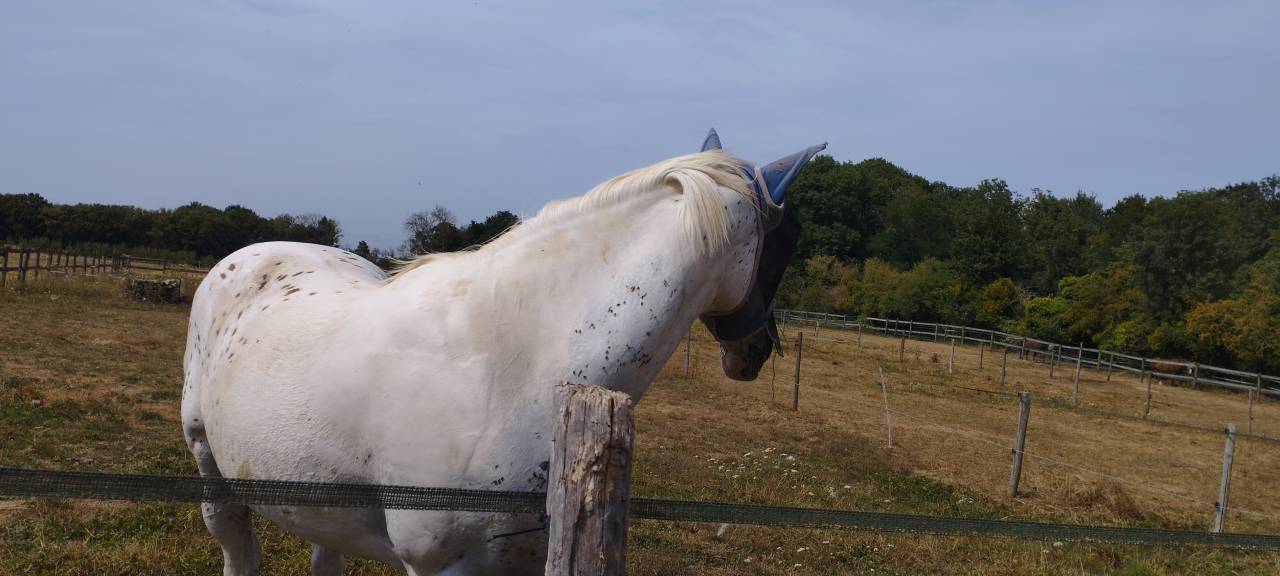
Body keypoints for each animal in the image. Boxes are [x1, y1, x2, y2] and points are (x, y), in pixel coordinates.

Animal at [181, 129, 826, 575]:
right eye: (790, 238)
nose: (757, 351)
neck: (509, 366)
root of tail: (250, 254)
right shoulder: (437, 566)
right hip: (211, 470)